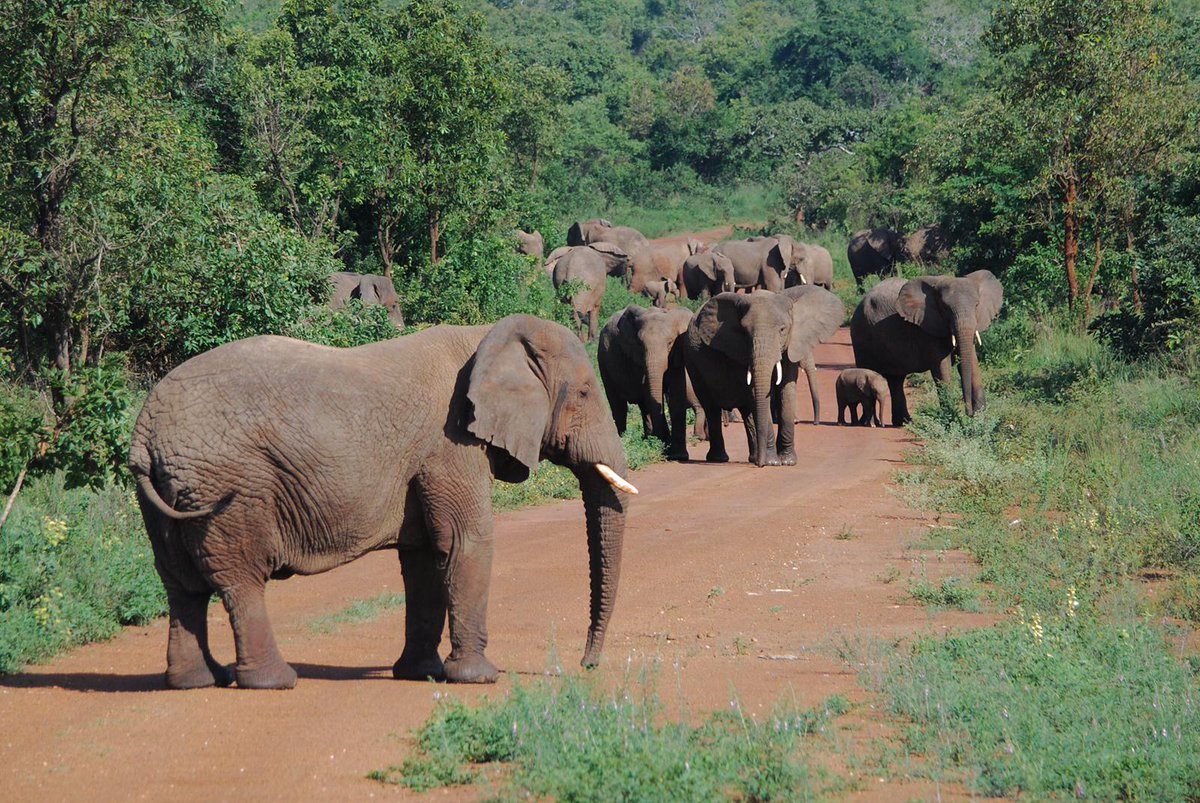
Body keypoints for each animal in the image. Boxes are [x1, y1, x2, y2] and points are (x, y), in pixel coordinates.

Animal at [128, 314, 637, 690]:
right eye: (585, 393)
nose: (585, 665)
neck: (484, 336)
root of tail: (145, 432)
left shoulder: (429, 458)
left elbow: (426, 556)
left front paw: (420, 673)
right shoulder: (450, 444)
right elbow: (466, 541)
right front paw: (478, 679)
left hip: (168, 494)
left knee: (181, 585)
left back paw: (196, 681)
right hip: (230, 485)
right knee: (241, 579)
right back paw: (273, 681)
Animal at [598, 305, 698, 456]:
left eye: (670, 343)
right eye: (640, 345)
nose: (662, 446)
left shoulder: (677, 354)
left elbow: (676, 393)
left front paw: (678, 454)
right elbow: (648, 392)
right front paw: (663, 446)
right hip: (604, 363)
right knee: (618, 405)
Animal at [673, 286, 843, 466]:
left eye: (782, 329)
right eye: (745, 332)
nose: (760, 464)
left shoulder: (789, 346)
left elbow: (787, 391)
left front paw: (787, 461)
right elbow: (756, 392)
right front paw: (772, 462)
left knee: (746, 411)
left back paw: (753, 457)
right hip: (693, 362)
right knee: (711, 406)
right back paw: (721, 458)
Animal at [850, 270, 1004, 424]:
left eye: (977, 305)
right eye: (945, 308)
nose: (968, 413)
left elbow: (972, 362)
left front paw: (980, 418)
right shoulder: (927, 329)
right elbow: (942, 367)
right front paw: (952, 419)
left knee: (896, 380)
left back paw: (904, 422)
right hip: (861, 338)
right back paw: (870, 423)